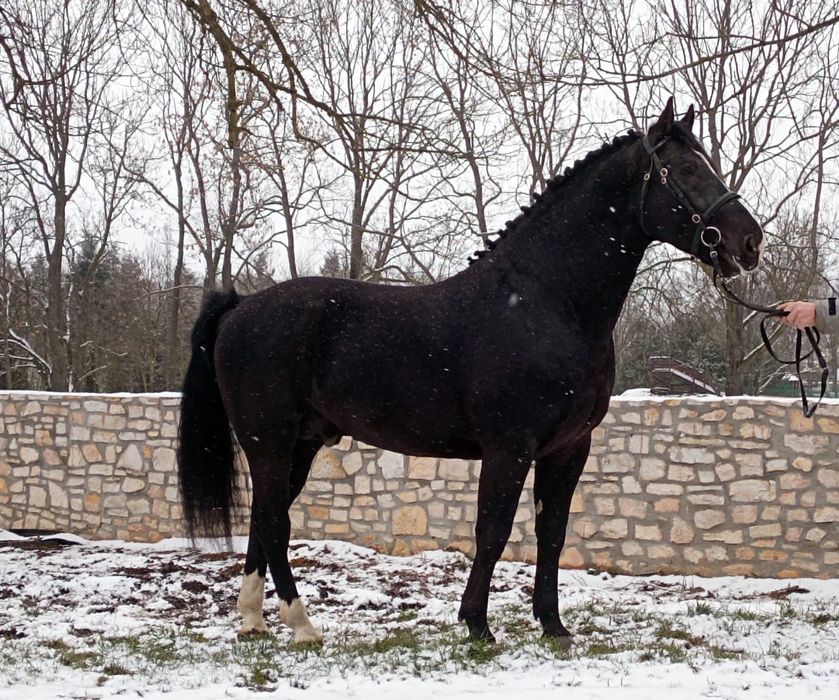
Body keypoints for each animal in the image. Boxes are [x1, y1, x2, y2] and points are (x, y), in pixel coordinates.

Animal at [180, 100, 764, 644]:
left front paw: (552, 624)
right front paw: (477, 624)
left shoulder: (568, 449)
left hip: (298, 444)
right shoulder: (510, 446)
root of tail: (240, 308)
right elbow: (493, 531)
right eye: (686, 169)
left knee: (265, 518)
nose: (749, 241)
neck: (544, 302)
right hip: (270, 440)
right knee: (274, 522)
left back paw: (254, 620)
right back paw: (301, 625)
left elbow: (552, 533)